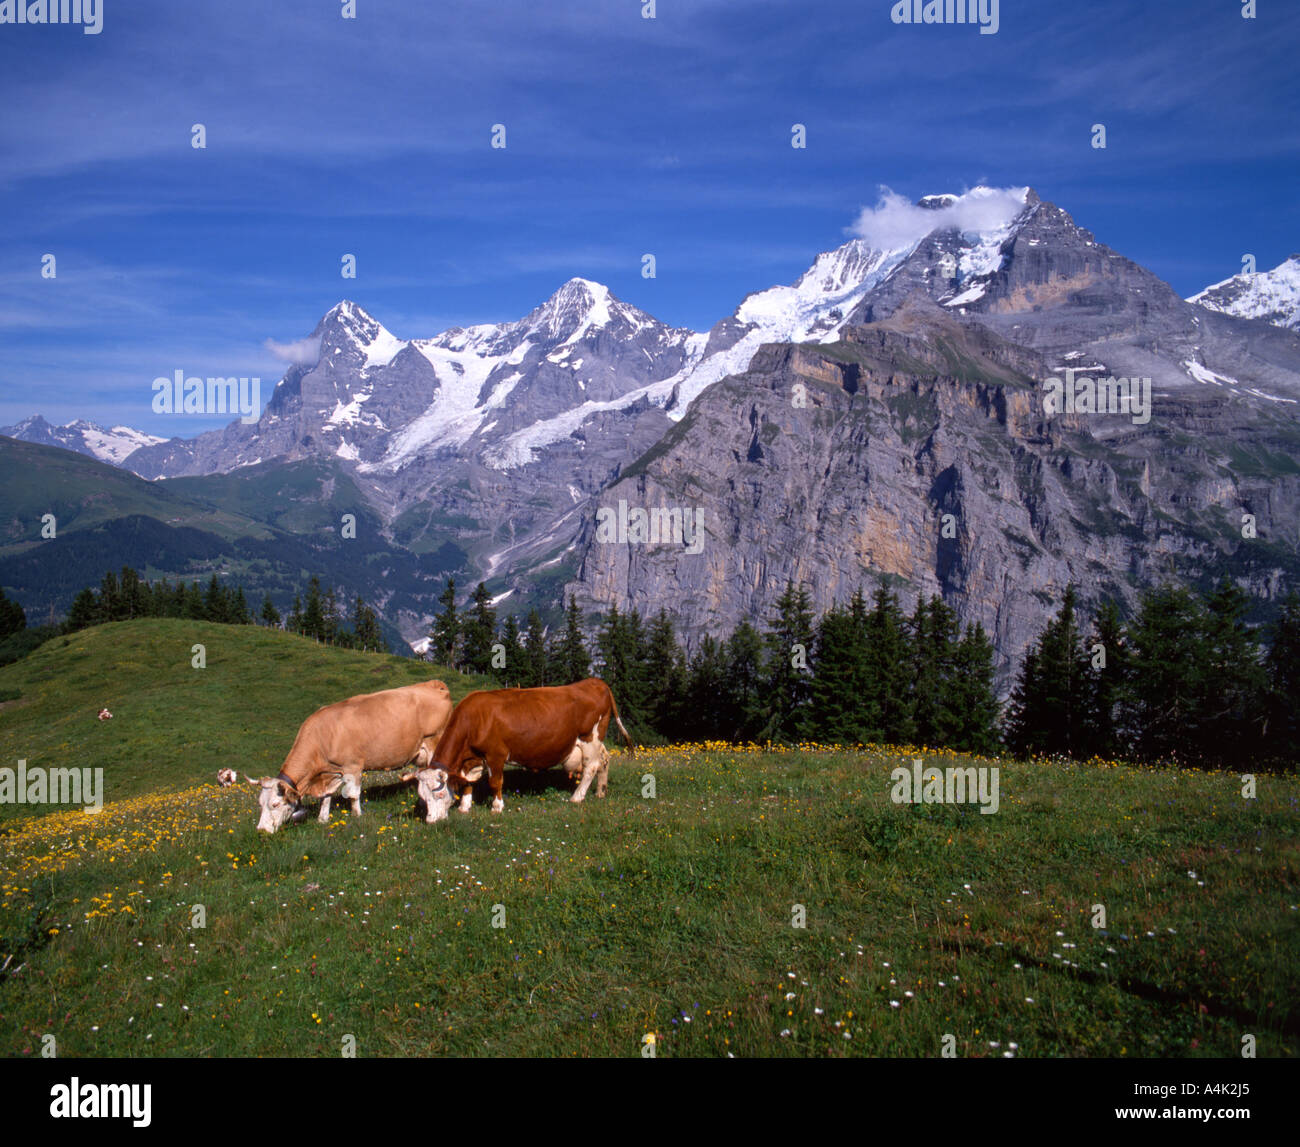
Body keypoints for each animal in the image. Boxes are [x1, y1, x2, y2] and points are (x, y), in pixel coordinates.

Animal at [245, 681, 454, 832]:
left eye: (275, 804)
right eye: (260, 804)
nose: (261, 830)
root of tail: (435, 684)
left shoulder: (352, 766)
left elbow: (353, 795)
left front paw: (357, 816)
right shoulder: (331, 772)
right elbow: (326, 797)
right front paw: (322, 819)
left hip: (435, 743)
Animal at [413, 676, 631, 816]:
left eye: (440, 793)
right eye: (422, 797)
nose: (431, 821)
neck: (473, 720)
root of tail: (596, 682)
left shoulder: (495, 754)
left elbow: (495, 782)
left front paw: (497, 807)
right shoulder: (472, 758)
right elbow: (468, 782)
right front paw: (464, 807)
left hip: (590, 738)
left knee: (591, 767)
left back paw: (577, 797)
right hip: (597, 741)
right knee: (604, 761)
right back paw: (601, 791)